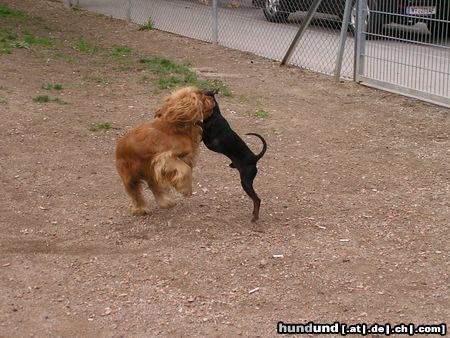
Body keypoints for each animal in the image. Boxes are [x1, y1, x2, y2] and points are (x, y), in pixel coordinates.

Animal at [201, 90, 268, 222]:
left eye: (205, 92)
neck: (214, 115)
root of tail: (255, 158)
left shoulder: (210, 141)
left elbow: (199, 124)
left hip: (246, 182)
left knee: (257, 199)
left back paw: (255, 217)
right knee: (255, 200)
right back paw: (254, 214)